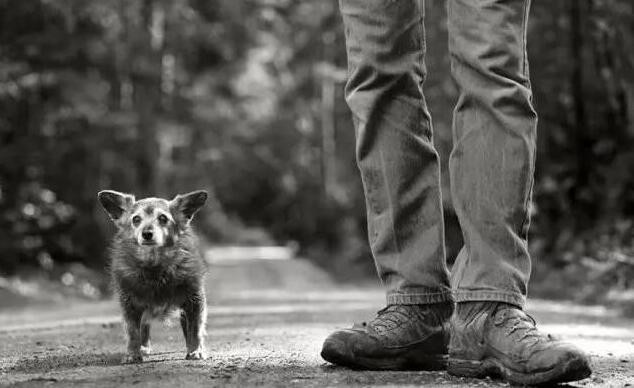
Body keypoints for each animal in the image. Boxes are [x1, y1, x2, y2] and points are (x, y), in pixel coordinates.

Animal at [97, 189, 209, 362]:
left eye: (163, 218)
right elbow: (133, 331)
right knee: (144, 327)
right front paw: (132, 353)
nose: (147, 233)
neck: (154, 266)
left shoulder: (194, 300)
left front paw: (196, 350)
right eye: (136, 219)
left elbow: (195, 329)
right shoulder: (130, 304)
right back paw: (143, 348)